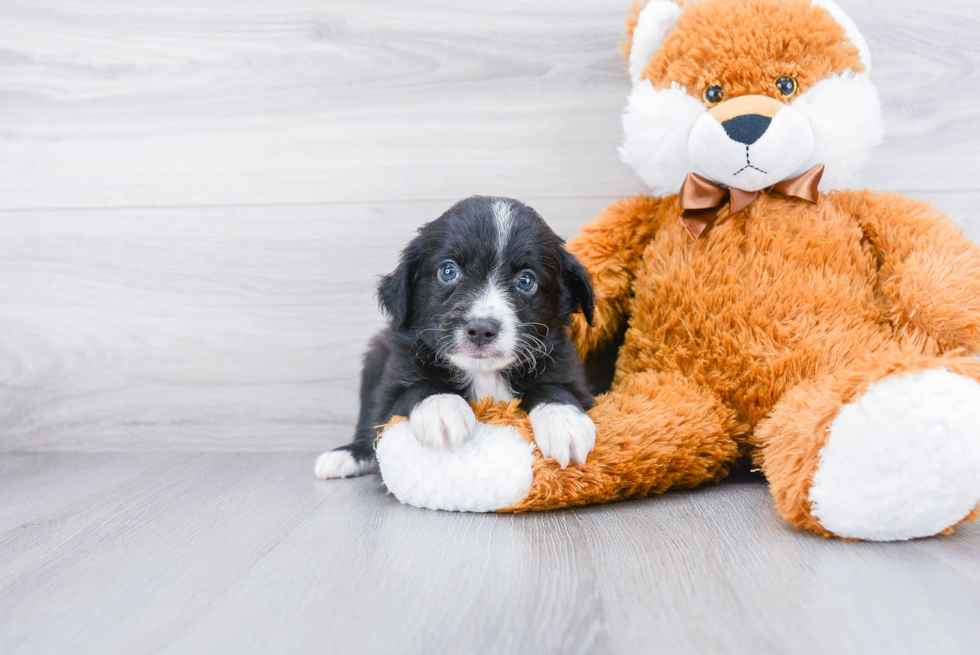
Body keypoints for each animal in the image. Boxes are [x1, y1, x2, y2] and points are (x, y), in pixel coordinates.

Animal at [314, 197, 596, 480]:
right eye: (448, 271)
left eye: (526, 281)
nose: (481, 329)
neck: (483, 373)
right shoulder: (390, 396)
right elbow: (419, 387)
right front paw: (441, 410)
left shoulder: (569, 373)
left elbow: (552, 387)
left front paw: (564, 422)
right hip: (375, 358)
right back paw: (346, 456)